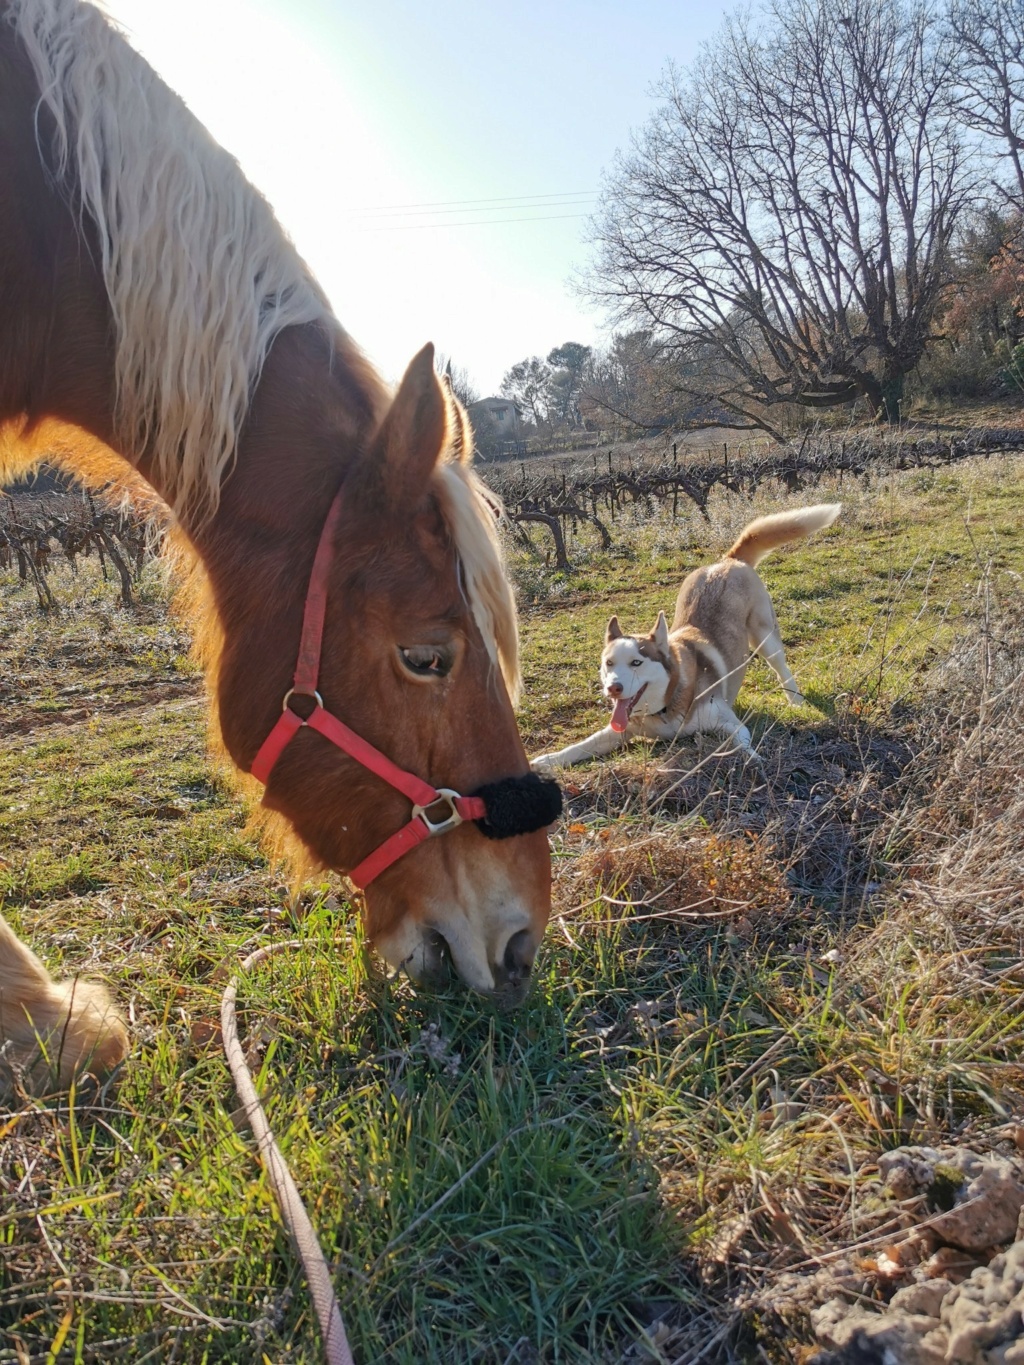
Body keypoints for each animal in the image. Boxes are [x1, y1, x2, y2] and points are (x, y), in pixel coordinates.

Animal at [529, 507, 841, 775]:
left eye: (636, 662)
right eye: (609, 663)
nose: (613, 688)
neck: (667, 704)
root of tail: (727, 560)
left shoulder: (729, 722)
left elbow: (740, 741)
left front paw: (751, 759)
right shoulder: (620, 731)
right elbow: (583, 745)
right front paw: (547, 760)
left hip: (765, 636)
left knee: (780, 667)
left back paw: (795, 700)